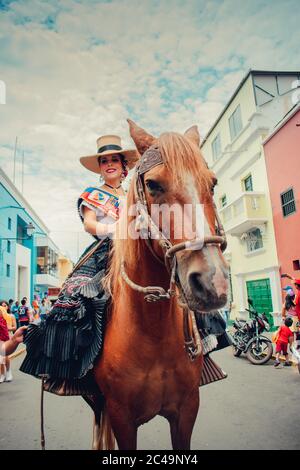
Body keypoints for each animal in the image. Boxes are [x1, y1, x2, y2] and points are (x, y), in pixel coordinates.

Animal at [91, 119, 227, 450]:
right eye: (153, 184)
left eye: (213, 183)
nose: (213, 282)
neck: (152, 332)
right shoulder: (121, 418)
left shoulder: (187, 409)